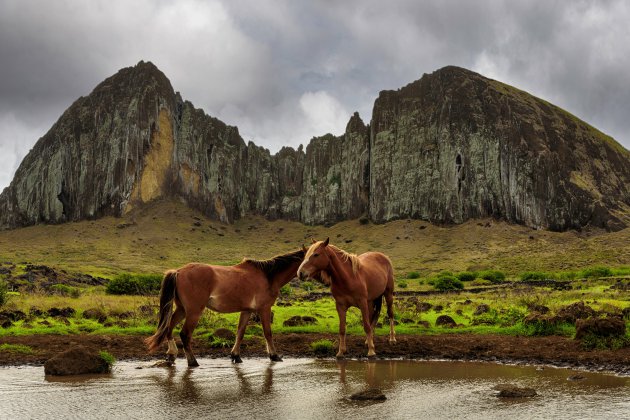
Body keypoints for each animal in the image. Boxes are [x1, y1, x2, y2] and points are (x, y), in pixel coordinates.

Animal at [147, 249, 308, 368]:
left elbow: (240, 333)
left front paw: (236, 356)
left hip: (182, 309)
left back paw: (171, 355)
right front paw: (274, 356)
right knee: (185, 334)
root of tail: (178, 271)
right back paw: (193, 362)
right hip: (193, 312)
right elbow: (268, 333)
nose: (304, 274)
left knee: (168, 327)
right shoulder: (264, 309)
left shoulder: (247, 310)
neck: (267, 276)